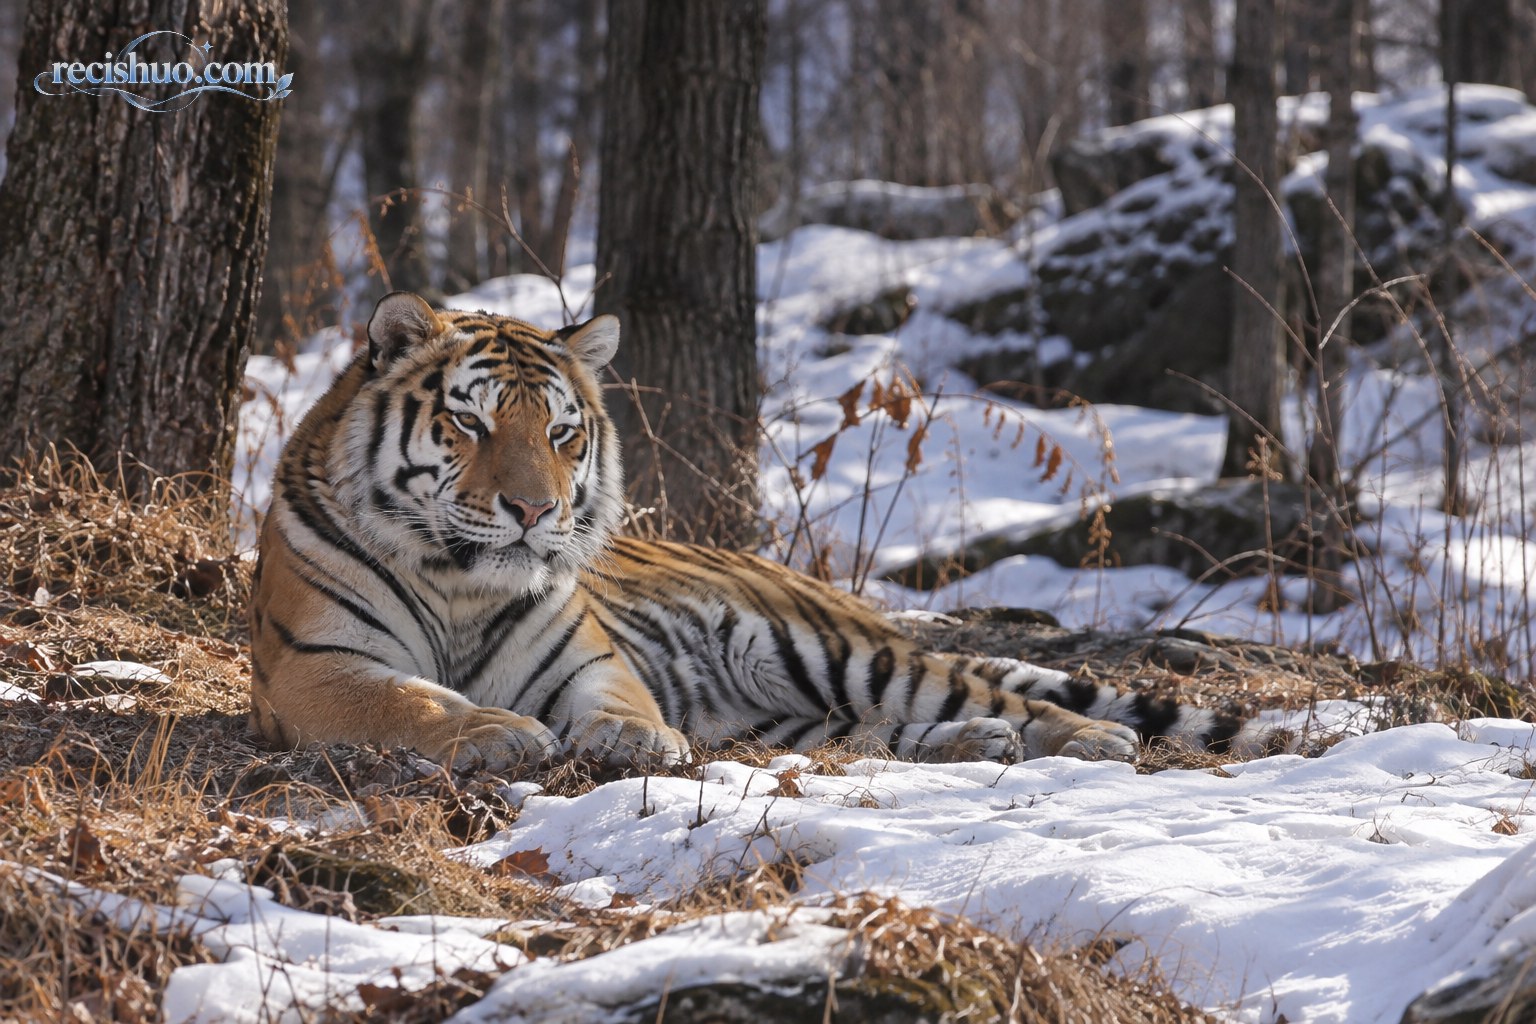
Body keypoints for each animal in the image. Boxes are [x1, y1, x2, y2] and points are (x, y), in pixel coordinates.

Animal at [248, 292, 1254, 771]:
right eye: (471, 423)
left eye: (562, 434)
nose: (534, 512)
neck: (463, 580)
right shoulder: (316, 666)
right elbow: (411, 701)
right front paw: (498, 732)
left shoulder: (587, 660)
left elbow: (621, 703)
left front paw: (636, 743)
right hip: (787, 715)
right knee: (872, 735)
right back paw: (977, 747)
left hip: (840, 654)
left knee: (997, 698)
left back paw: (1088, 742)